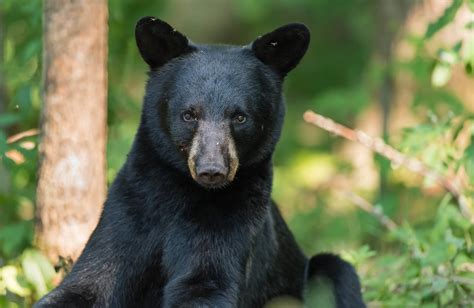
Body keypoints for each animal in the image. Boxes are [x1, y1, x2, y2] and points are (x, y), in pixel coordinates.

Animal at [37, 17, 364, 308]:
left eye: (240, 116)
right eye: (188, 114)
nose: (212, 170)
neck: (181, 191)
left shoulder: (235, 215)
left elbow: (204, 281)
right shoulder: (131, 208)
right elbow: (92, 280)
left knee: (336, 269)